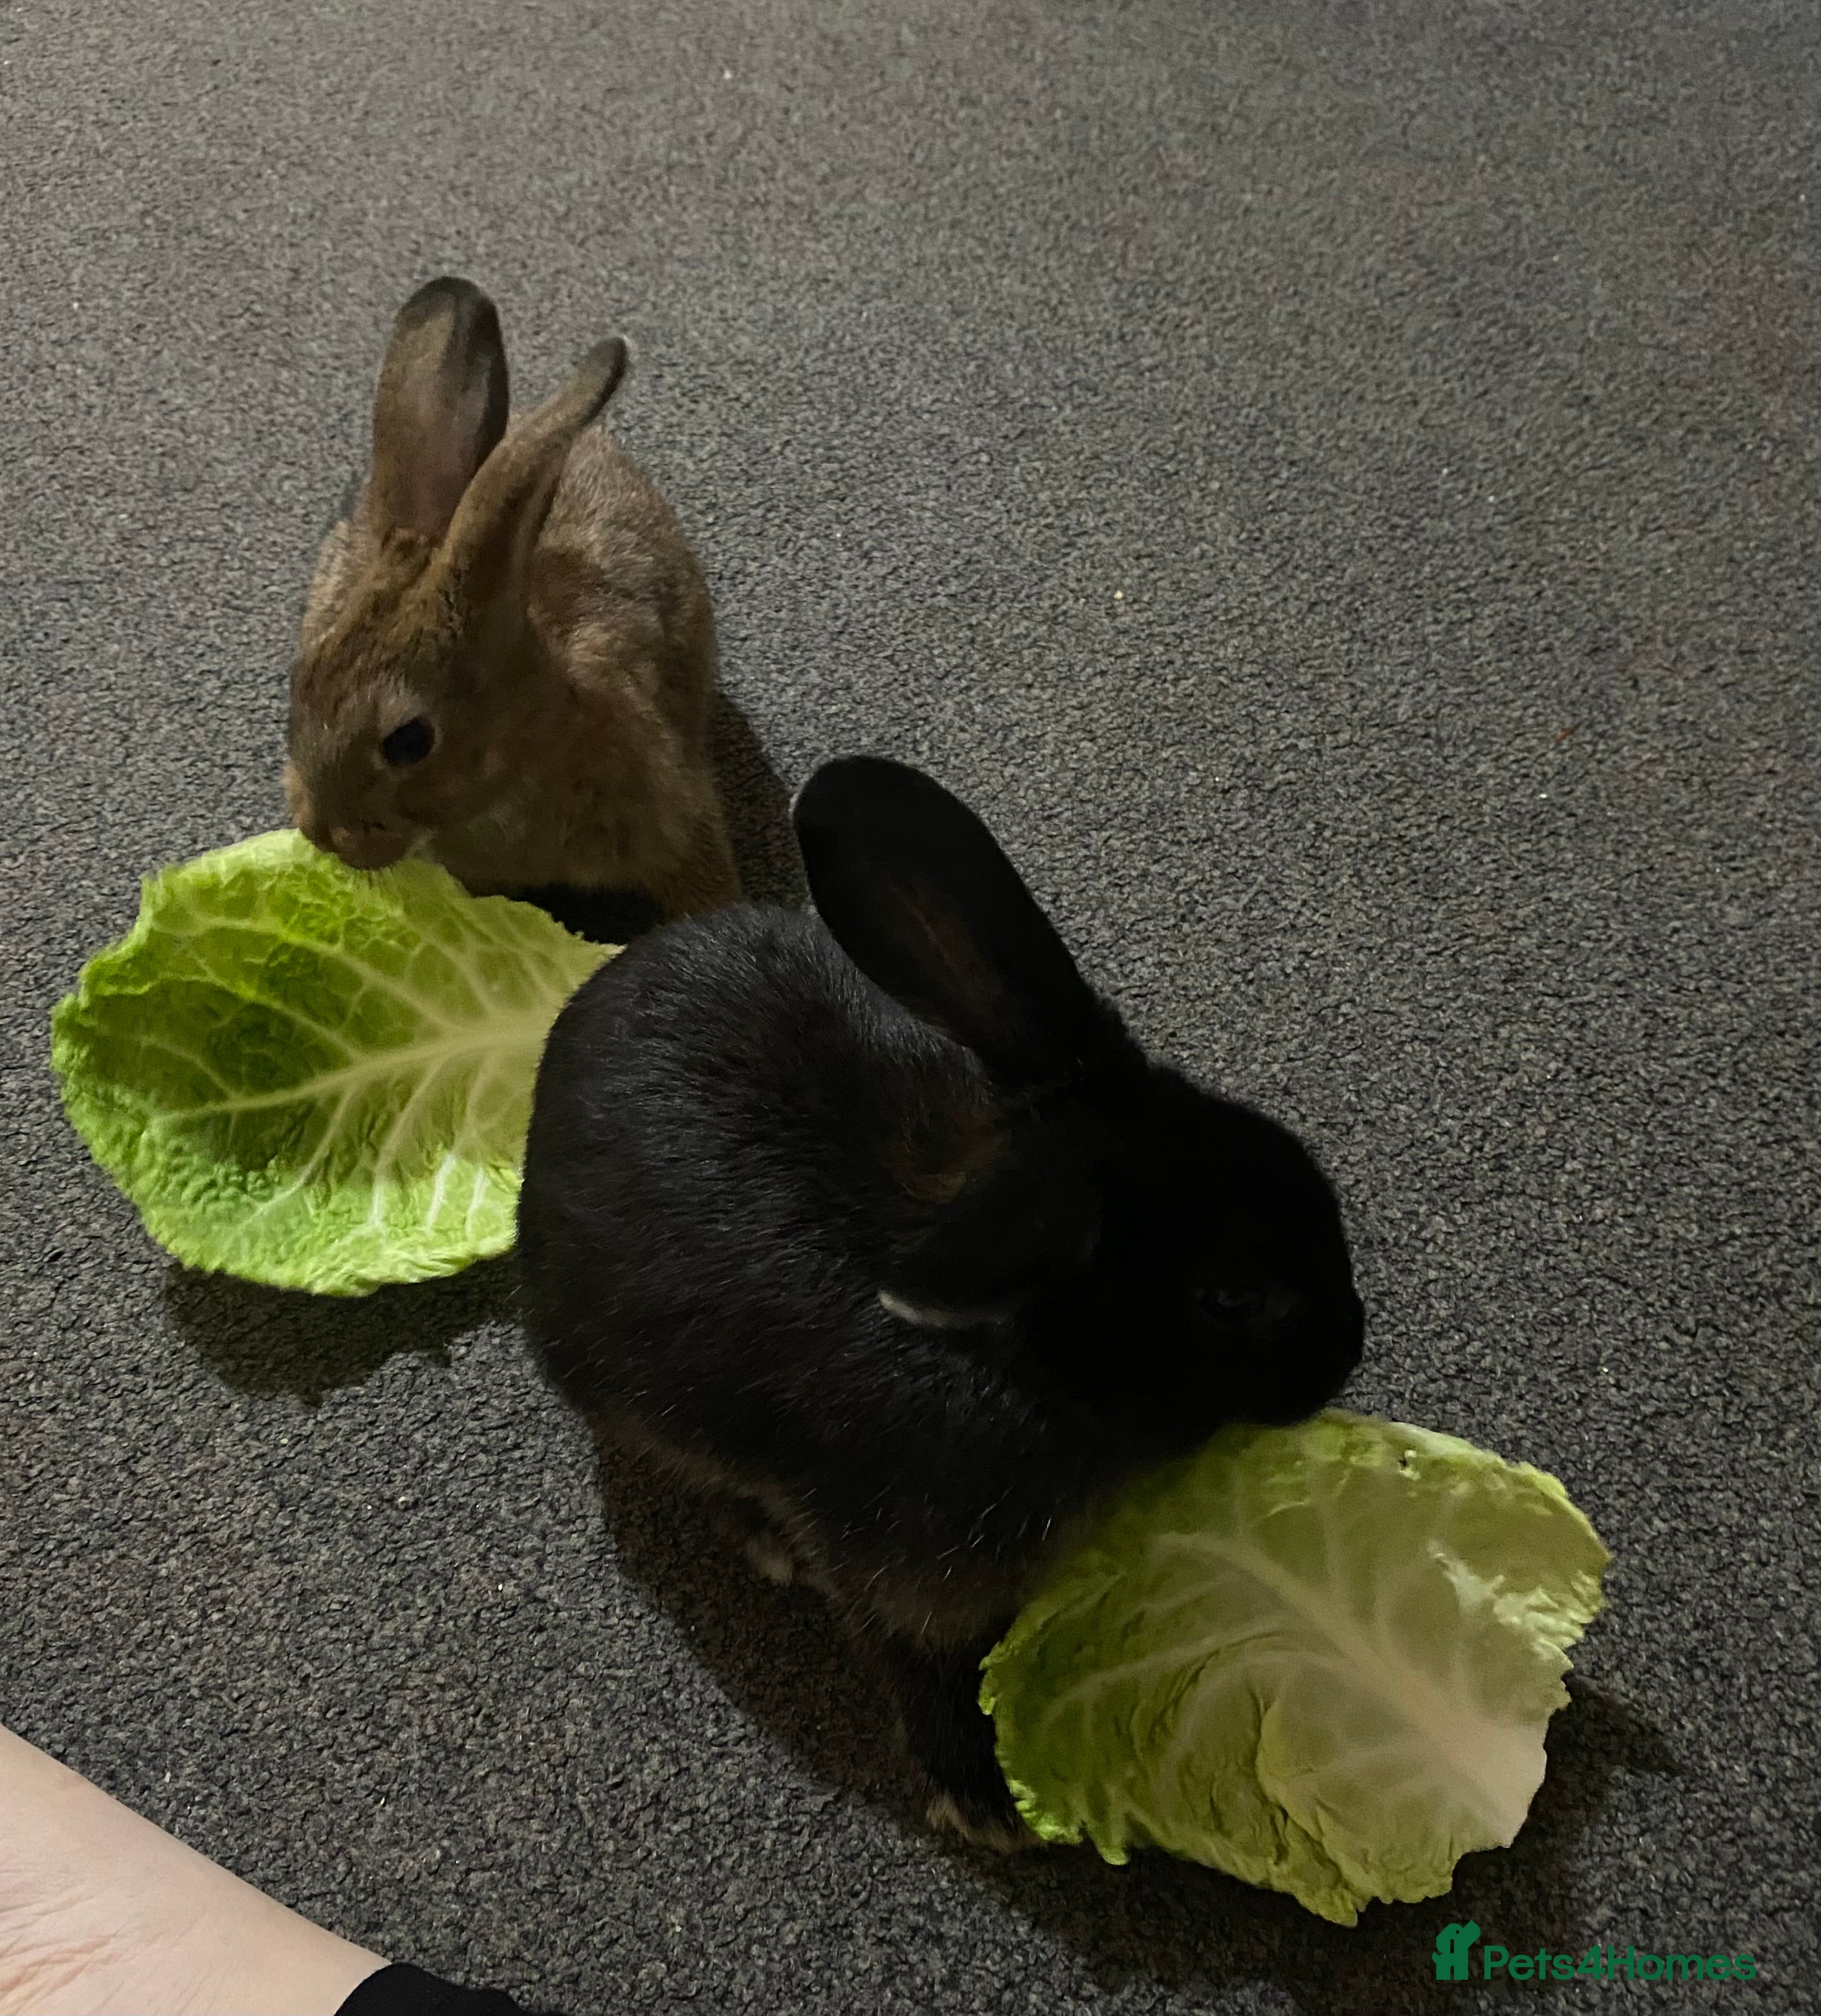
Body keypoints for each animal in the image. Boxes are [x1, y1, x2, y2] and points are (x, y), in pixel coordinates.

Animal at [517, 756, 1366, 1846]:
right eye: (1231, 1296)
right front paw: (985, 1799)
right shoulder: (897, 1581)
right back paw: (762, 1544)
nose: (1348, 1345)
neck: (1013, 1355)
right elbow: (914, 1664)